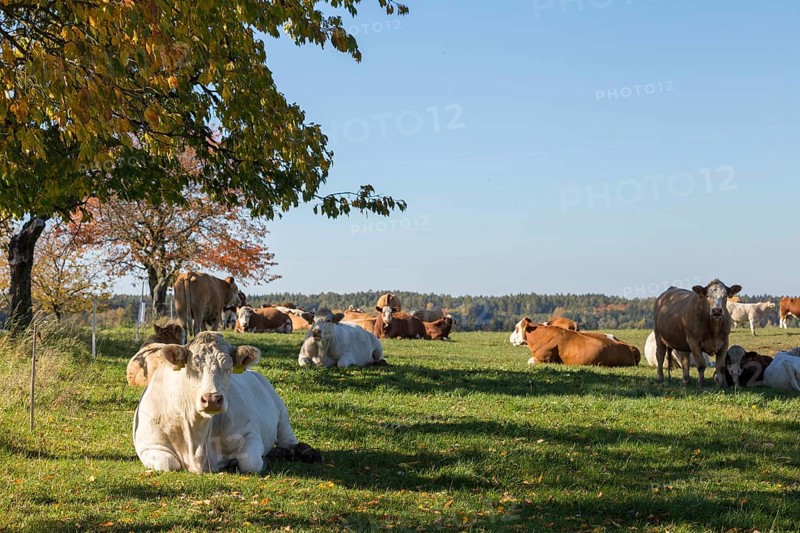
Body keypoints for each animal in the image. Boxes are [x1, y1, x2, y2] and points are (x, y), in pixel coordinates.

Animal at [133, 331, 321, 473]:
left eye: (228, 368)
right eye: (193, 367)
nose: (211, 399)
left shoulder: (250, 433)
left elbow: (251, 462)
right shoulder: (147, 445)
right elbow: (168, 464)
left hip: (282, 416)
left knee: (289, 441)